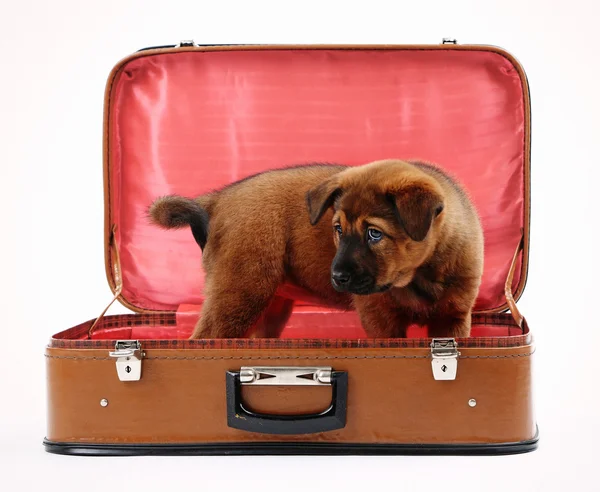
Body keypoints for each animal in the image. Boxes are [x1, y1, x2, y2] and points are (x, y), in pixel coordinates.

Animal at [149, 160, 482, 340]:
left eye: (374, 233)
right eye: (338, 229)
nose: (338, 278)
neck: (420, 275)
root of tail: (217, 200)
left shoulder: (453, 319)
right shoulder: (381, 319)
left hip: (267, 306)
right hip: (240, 293)